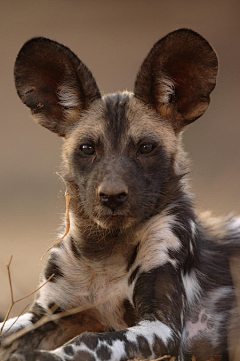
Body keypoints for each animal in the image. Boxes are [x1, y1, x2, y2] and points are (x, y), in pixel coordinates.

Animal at [0, 29, 240, 360]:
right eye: (87, 148)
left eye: (146, 147)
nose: (112, 196)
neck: (103, 252)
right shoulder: (45, 314)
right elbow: (6, 330)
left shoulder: (162, 327)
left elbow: (89, 340)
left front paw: (45, 356)